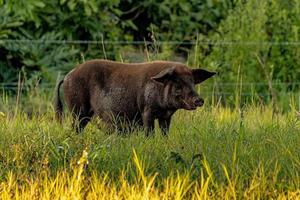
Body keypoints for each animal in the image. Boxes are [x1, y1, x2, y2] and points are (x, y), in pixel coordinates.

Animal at [54, 59, 217, 136]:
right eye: (177, 82)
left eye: (192, 82)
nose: (199, 100)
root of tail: (67, 76)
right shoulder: (147, 111)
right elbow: (149, 132)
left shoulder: (166, 117)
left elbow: (165, 133)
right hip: (77, 108)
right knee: (75, 127)